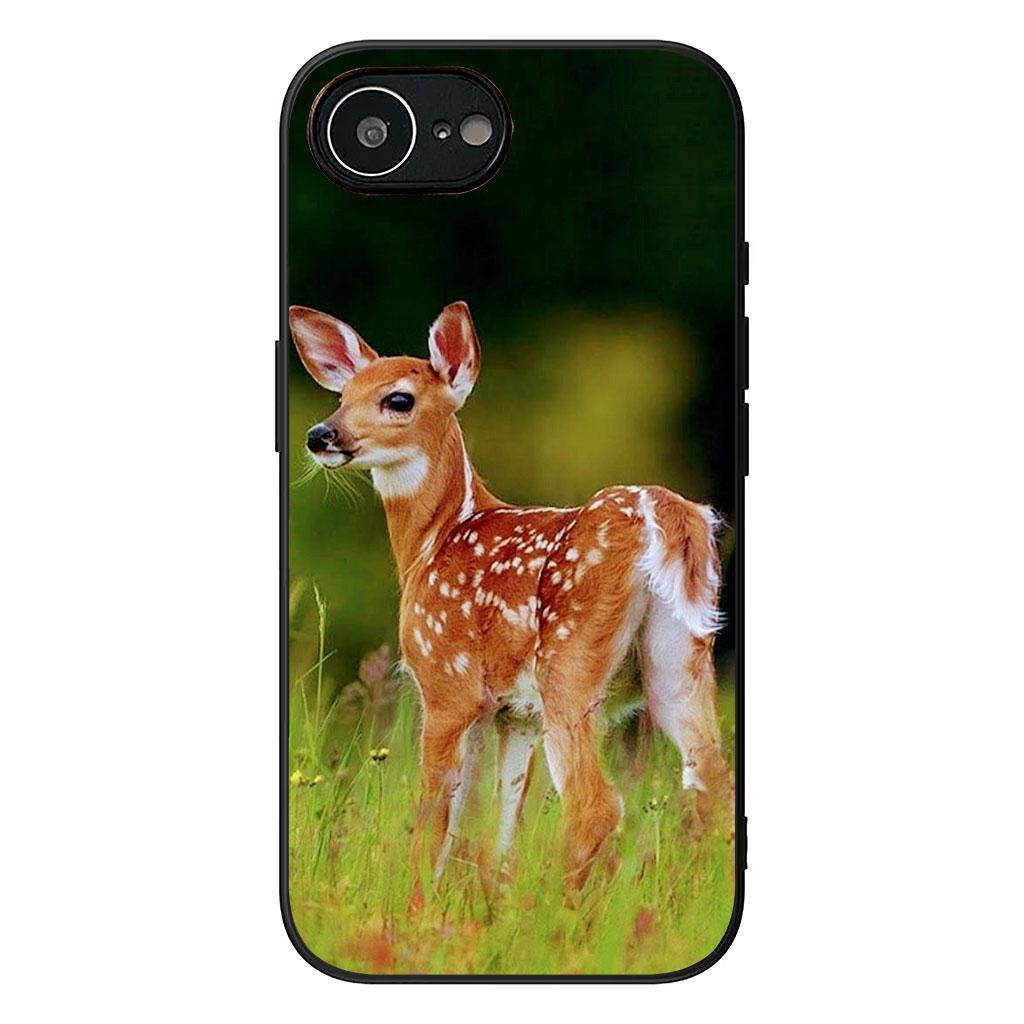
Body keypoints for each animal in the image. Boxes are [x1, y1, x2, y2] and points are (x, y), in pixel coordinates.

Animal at [289, 300, 735, 891]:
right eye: (342, 396)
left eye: (398, 399)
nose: (321, 435)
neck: (433, 541)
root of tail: (665, 515)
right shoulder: (512, 713)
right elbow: (502, 824)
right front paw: (494, 902)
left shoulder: (447, 681)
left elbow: (435, 819)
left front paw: (416, 904)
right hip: (679, 659)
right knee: (712, 783)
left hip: (570, 662)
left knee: (595, 805)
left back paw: (565, 910)